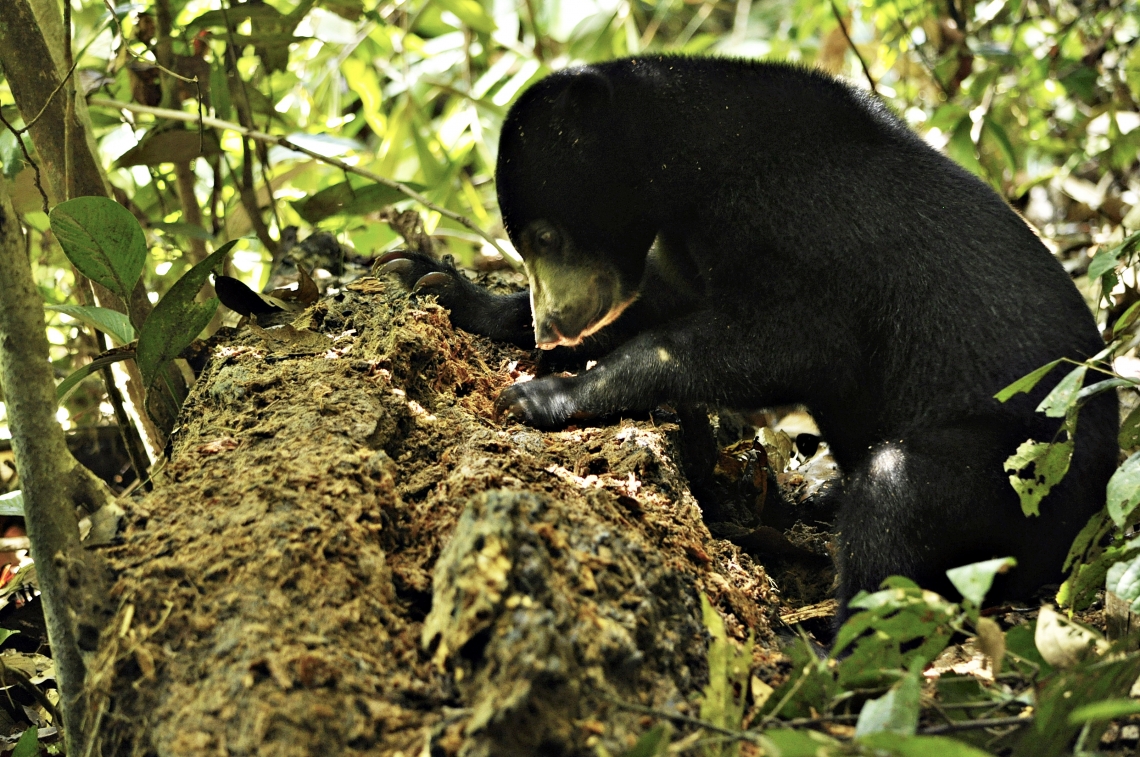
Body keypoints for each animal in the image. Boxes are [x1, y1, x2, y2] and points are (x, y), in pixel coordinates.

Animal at [380, 54, 1112, 620]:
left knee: (899, 498)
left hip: (1019, 471)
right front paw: (433, 281)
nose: (551, 325)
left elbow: (786, 345)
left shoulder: (804, 233)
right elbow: (659, 304)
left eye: (546, 235)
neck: (693, 166)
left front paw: (546, 395)